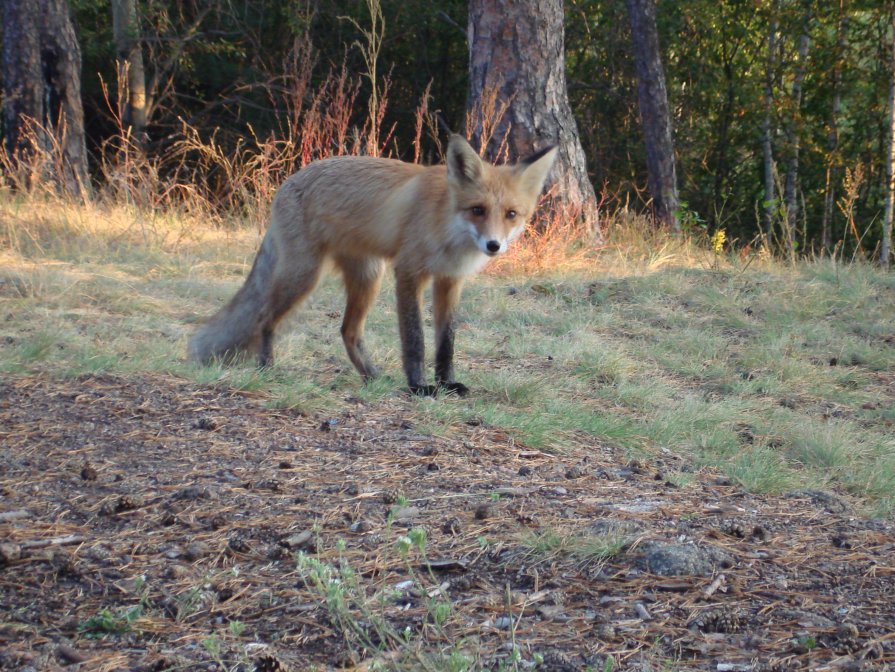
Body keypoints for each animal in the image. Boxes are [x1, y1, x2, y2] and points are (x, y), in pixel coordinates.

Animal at [190, 136, 556, 396]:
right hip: (304, 275)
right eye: (477, 210)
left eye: (511, 214)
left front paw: (447, 383)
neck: (447, 227)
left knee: (347, 331)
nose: (493, 245)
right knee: (264, 317)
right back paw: (267, 367)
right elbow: (415, 338)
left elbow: (446, 342)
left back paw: (372, 377)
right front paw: (419, 387)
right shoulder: (409, 272)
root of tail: (289, 181)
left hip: (367, 278)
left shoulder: (449, 280)